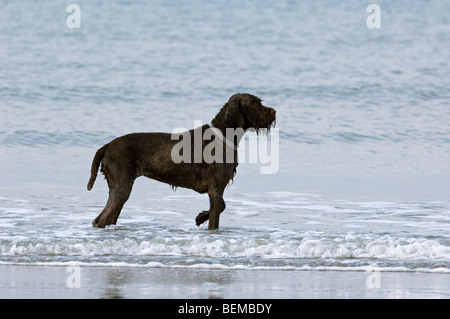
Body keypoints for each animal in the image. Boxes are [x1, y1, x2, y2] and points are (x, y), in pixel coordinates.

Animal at [86, 92, 276, 230]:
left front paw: (200, 217)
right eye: (254, 103)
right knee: (100, 220)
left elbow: (222, 206)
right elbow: (216, 215)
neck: (223, 135)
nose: (274, 111)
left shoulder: (215, 188)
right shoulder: (216, 188)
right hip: (122, 187)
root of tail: (107, 146)